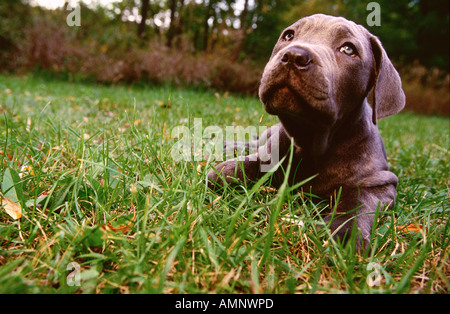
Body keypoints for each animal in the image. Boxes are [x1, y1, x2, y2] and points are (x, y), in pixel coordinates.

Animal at [207, 13, 408, 248]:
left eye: (348, 49)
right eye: (288, 35)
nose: (294, 55)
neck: (310, 139)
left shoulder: (379, 182)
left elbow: (359, 202)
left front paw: (346, 233)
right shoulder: (270, 154)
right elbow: (242, 166)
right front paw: (225, 171)